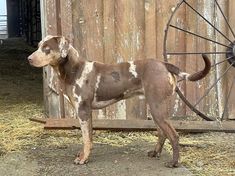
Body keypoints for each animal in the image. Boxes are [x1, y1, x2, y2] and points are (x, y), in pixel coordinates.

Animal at [28, 35, 211, 167]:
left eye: (46, 48)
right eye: (38, 45)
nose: (29, 58)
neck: (74, 69)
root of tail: (163, 64)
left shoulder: (83, 111)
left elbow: (86, 139)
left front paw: (83, 159)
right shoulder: (88, 112)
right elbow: (89, 138)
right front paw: (84, 155)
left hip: (158, 108)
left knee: (173, 135)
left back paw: (173, 163)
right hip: (156, 109)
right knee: (162, 133)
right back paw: (155, 153)